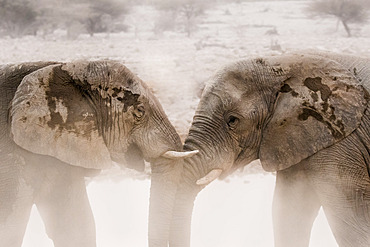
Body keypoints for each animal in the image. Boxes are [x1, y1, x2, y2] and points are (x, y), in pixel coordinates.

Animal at [147, 51, 370, 246]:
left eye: (232, 120)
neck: (281, 63)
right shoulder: (296, 139)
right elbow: (289, 212)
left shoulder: (342, 143)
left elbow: (351, 223)